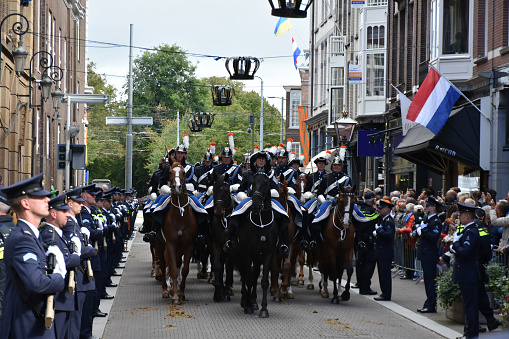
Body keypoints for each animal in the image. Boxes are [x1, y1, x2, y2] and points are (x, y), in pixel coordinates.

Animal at [156, 163, 197, 304]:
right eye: (169, 172)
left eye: (184, 172)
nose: (177, 187)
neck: (180, 217)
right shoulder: (171, 244)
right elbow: (173, 269)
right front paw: (174, 295)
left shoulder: (189, 245)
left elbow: (184, 270)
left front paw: (181, 293)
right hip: (159, 245)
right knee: (163, 265)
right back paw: (165, 290)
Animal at [233, 173, 278, 318]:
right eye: (252, 183)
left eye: (266, 184)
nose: (256, 206)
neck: (261, 223)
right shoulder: (246, 255)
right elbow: (248, 279)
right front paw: (247, 305)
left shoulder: (267, 255)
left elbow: (263, 281)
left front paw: (263, 308)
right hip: (238, 254)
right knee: (244, 275)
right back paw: (245, 300)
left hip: (257, 258)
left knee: (255, 274)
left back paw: (253, 301)